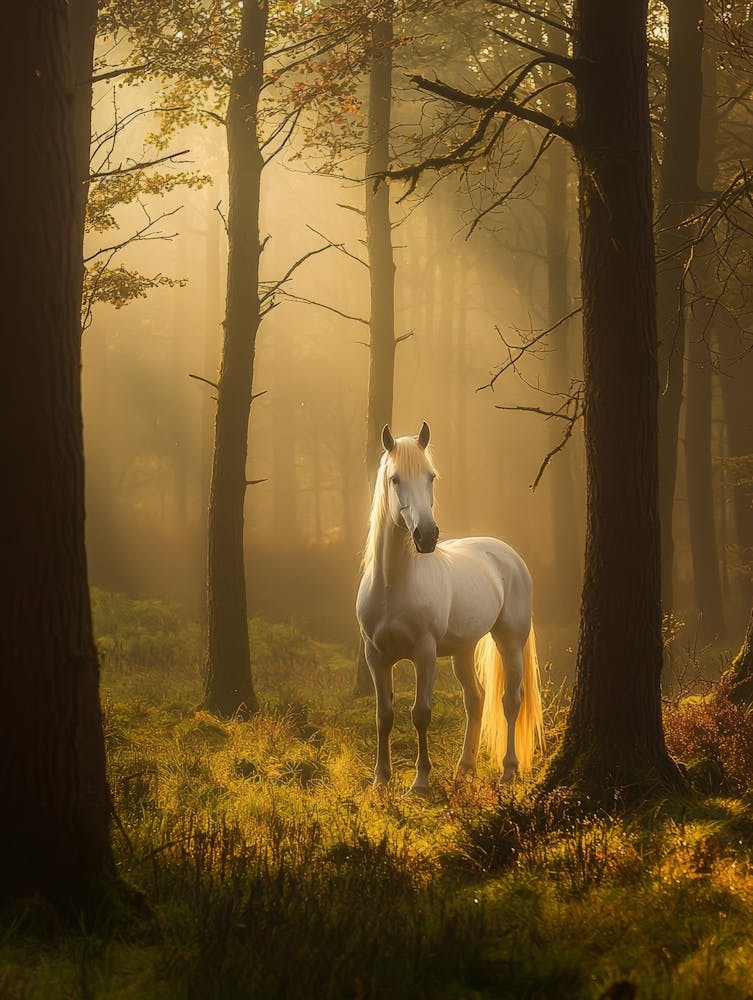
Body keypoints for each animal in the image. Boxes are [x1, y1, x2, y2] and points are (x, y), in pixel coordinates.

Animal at [356, 421, 544, 792]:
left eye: (431, 476)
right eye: (395, 478)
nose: (426, 536)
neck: (393, 586)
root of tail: (507, 553)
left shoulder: (424, 654)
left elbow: (420, 714)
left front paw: (420, 783)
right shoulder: (376, 656)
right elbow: (384, 715)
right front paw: (380, 780)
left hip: (510, 641)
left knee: (510, 701)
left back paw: (508, 771)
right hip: (463, 650)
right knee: (476, 699)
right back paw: (465, 768)